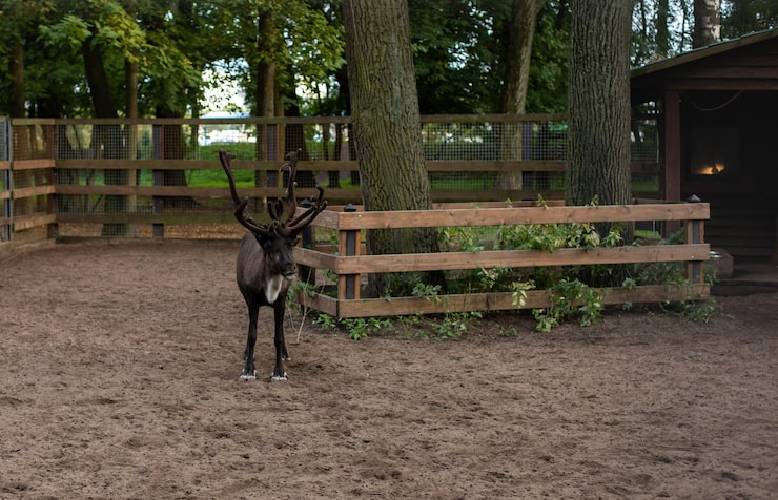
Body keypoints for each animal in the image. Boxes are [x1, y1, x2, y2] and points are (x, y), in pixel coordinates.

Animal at [218, 149, 327, 381]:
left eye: (290, 244)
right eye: (270, 247)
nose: (291, 267)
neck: (270, 286)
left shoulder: (281, 300)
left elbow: (277, 335)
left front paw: (279, 371)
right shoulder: (251, 299)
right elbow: (252, 334)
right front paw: (248, 369)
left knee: (282, 330)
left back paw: (286, 353)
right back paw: (246, 354)